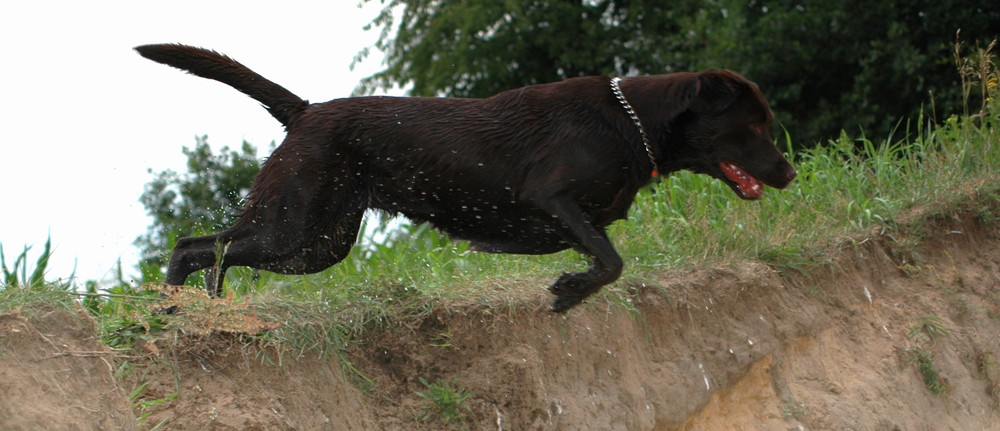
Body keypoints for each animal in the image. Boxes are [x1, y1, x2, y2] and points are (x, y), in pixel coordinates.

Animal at [135, 44, 796, 312]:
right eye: (754, 125)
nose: (790, 171)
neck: (630, 122)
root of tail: (306, 110)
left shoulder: (572, 216)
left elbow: (600, 254)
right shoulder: (550, 196)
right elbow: (611, 261)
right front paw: (568, 292)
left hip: (319, 243)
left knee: (218, 253)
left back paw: (198, 310)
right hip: (292, 223)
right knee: (194, 246)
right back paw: (173, 311)